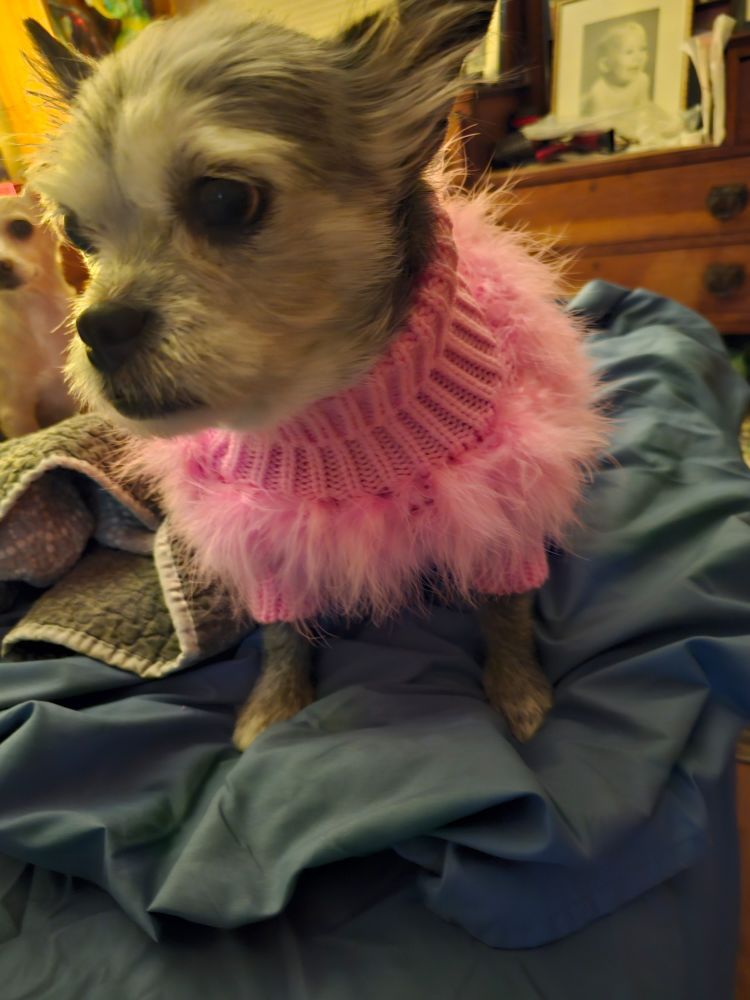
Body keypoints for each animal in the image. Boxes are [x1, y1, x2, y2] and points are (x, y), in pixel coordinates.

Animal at [26, 1, 607, 749]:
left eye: (225, 200)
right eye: (75, 231)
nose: (98, 326)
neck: (326, 405)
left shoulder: (502, 497)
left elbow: (506, 609)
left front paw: (518, 692)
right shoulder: (266, 536)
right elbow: (282, 633)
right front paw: (275, 704)